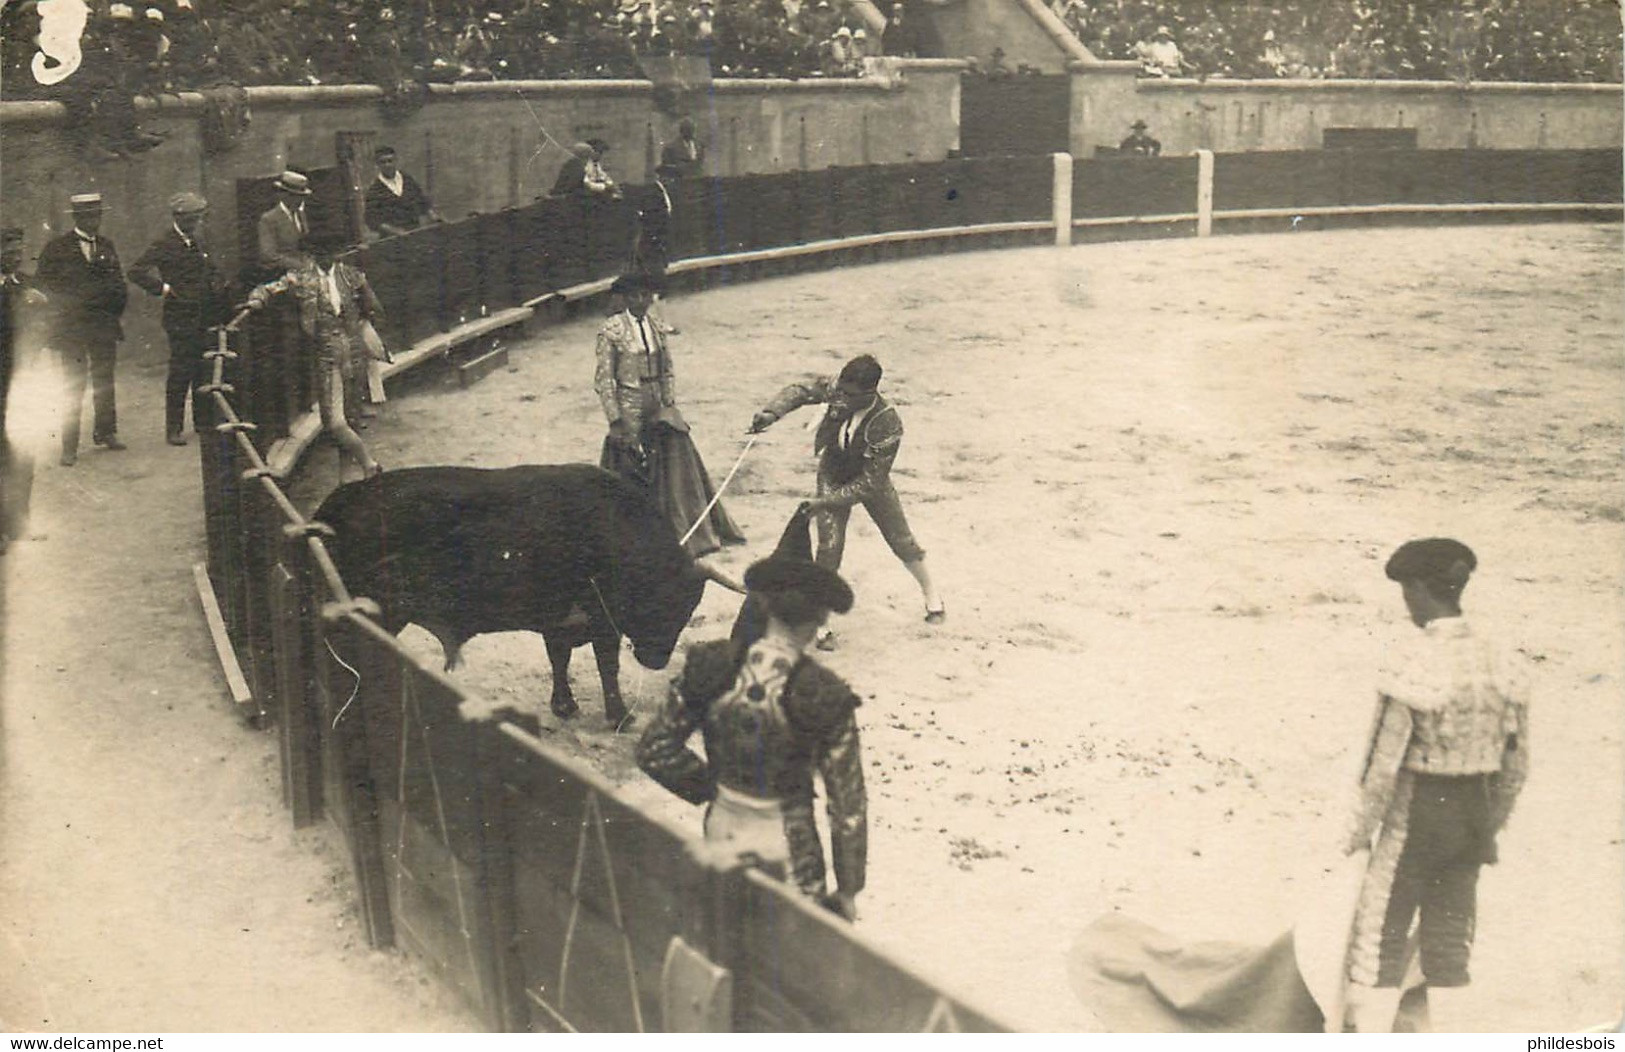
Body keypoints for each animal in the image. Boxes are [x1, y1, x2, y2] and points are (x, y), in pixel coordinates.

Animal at [313, 465, 734, 728]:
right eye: (663, 602)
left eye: (688, 609)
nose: (656, 660)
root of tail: (344, 497)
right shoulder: (601, 621)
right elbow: (606, 666)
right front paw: (620, 716)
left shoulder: (559, 619)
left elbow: (559, 659)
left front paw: (564, 706)